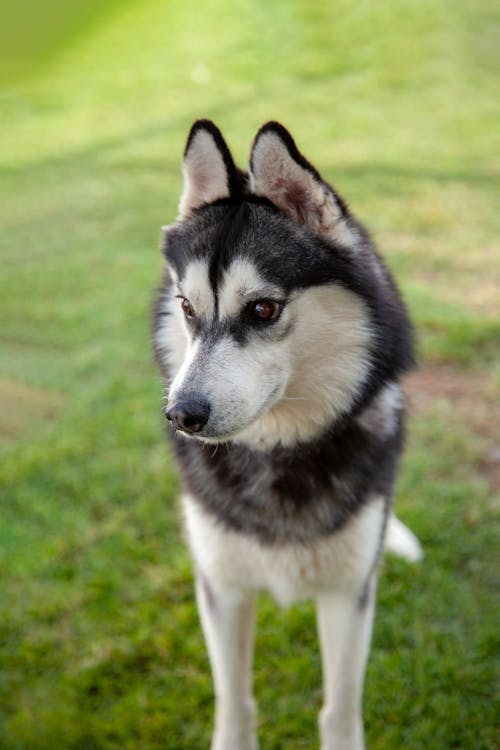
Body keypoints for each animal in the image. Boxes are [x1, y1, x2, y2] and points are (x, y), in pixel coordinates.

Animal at [153, 120, 422, 748]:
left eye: (263, 309)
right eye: (187, 308)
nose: (182, 414)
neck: (276, 454)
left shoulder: (349, 593)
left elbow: (340, 710)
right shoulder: (220, 587)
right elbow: (234, 704)